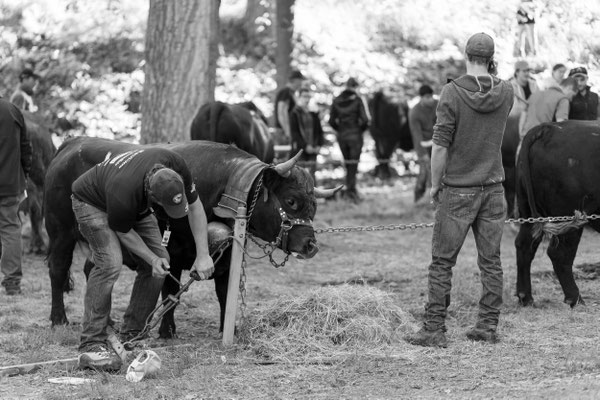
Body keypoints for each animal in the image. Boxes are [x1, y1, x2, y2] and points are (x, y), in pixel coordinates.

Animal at [43, 137, 338, 338]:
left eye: (315, 205)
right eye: (291, 200)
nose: (310, 245)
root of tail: (75, 141)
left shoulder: (226, 259)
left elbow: (224, 293)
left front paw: (226, 329)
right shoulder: (170, 254)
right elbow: (170, 292)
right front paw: (167, 330)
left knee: (92, 268)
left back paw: (107, 321)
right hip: (60, 232)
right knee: (58, 270)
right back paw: (59, 319)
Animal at [512, 120, 600, 308]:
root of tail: (548, 128)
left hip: (527, 211)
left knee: (524, 245)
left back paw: (526, 297)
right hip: (570, 218)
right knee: (559, 254)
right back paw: (575, 298)